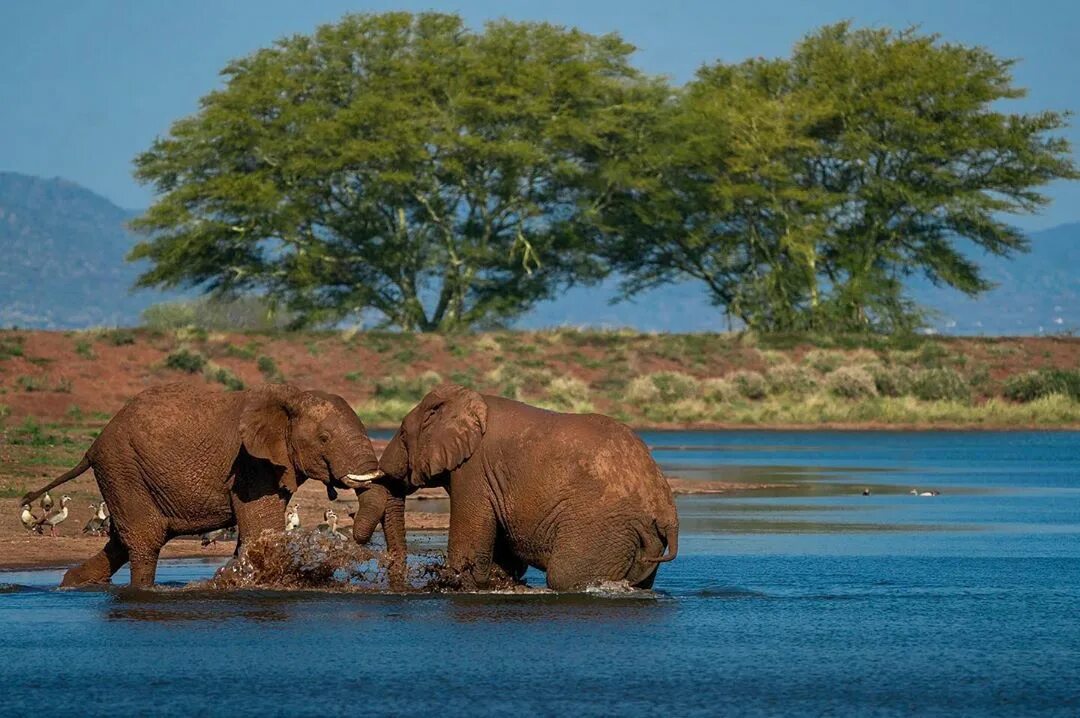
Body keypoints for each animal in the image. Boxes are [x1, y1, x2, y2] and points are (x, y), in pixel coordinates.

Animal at [19, 384, 384, 587]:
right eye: (324, 438)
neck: (290, 398)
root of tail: (93, 445)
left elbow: (255, 536)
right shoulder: (250, 463)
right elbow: (261, 530)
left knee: (123, 541)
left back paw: (71, 584)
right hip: (122, 466)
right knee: (144, 541)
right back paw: (141, 592)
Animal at [367, 384, 678, 591]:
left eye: (403, 434)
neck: (465, 400)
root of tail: (668, 518)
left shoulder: (473, 470)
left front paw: (455, 582)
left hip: (601, 525)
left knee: (565, 575)